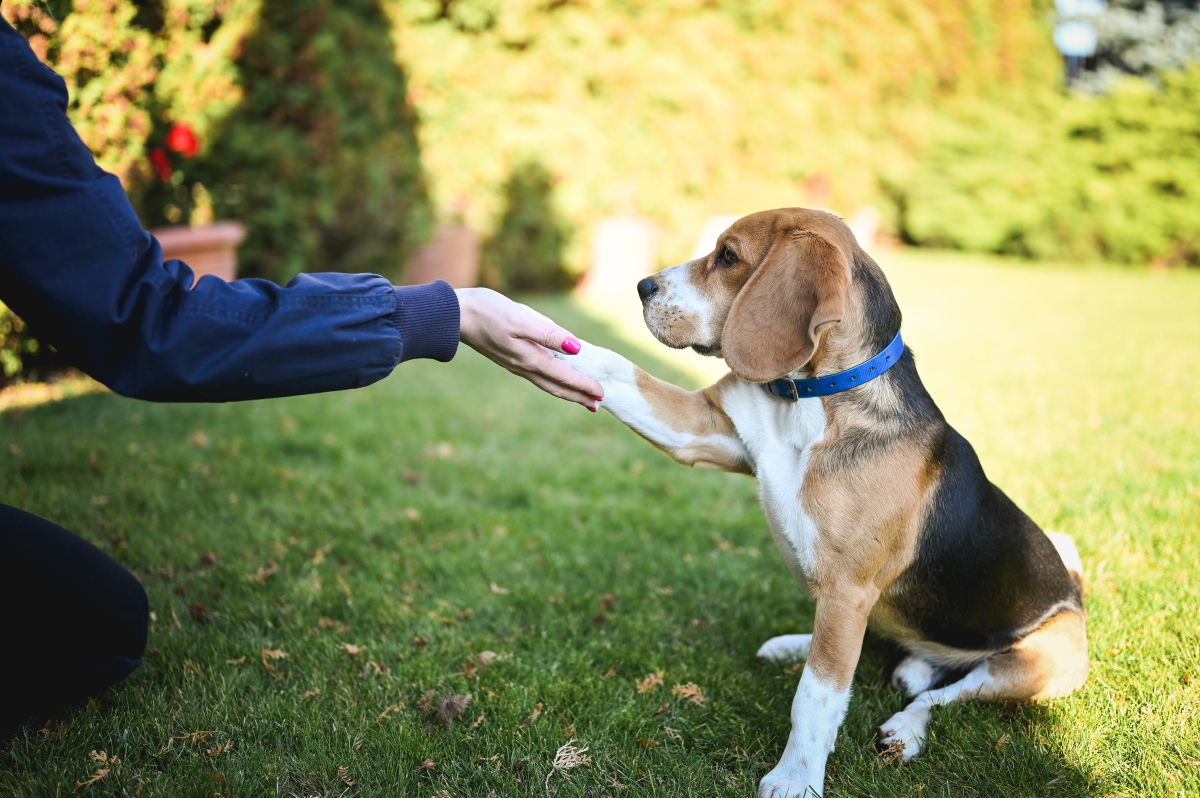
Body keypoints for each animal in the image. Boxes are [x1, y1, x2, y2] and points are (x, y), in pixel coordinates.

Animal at [561, 206, 1089, 796]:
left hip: (1033, 663)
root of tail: (1076, 594)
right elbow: (616, 368)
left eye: (728, 256)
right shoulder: (703, 427)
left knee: (944, 695)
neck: (808, 399)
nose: (642, 286)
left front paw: (795, 777)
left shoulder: (846, 592)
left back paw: (907, 728)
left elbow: (816, 695)